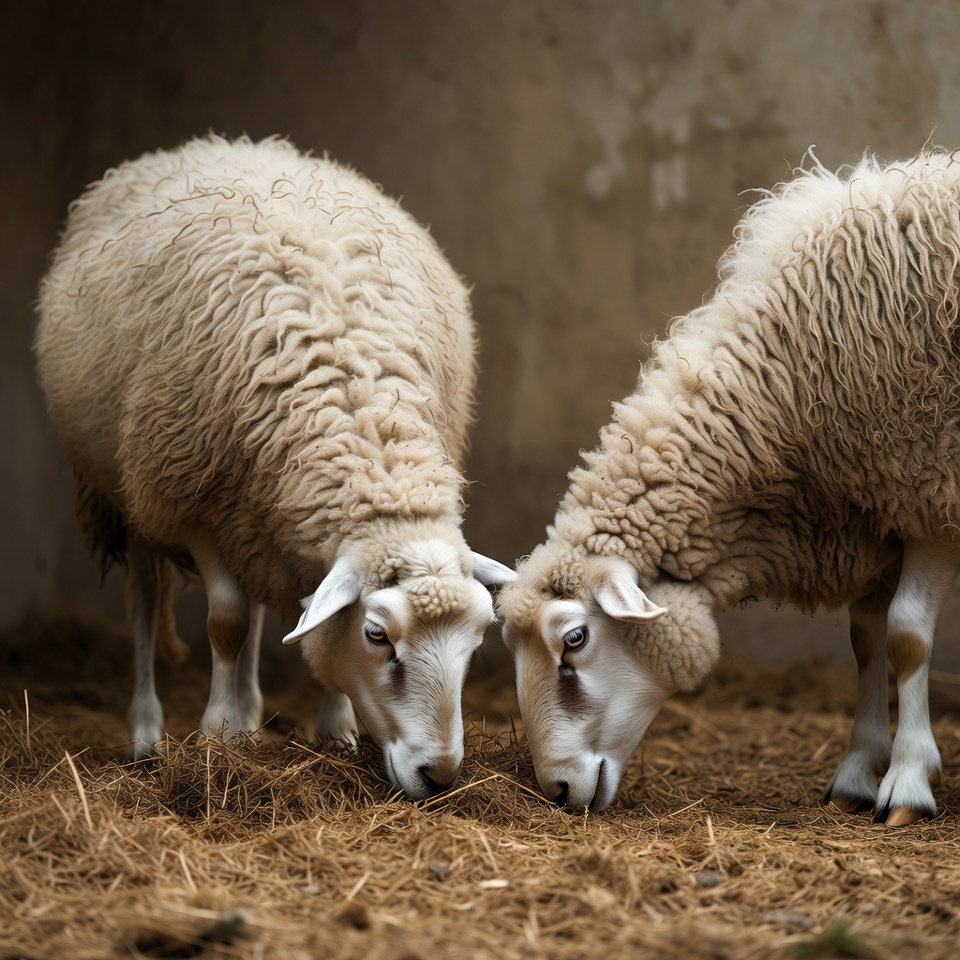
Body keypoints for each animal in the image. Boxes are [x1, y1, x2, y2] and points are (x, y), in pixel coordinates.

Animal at [35, 134, 515, 799]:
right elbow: (227, 623)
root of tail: (218, 143)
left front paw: (334, 731)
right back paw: (149, 733)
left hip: (256, 510)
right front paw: (216, 735)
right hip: (130, 496)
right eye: (377, 635)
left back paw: (251, 711)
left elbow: (305, 621)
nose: (439, 775)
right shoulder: (193, 503)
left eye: (475, 642)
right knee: (145, 601)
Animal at [497, 148, 960, 825]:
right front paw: (855, 773)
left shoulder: (928, 489)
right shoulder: (872, 515)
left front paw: (906, 782)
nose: (555, 791)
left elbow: (906, 638)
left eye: (574, 640)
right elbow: (866, 641)